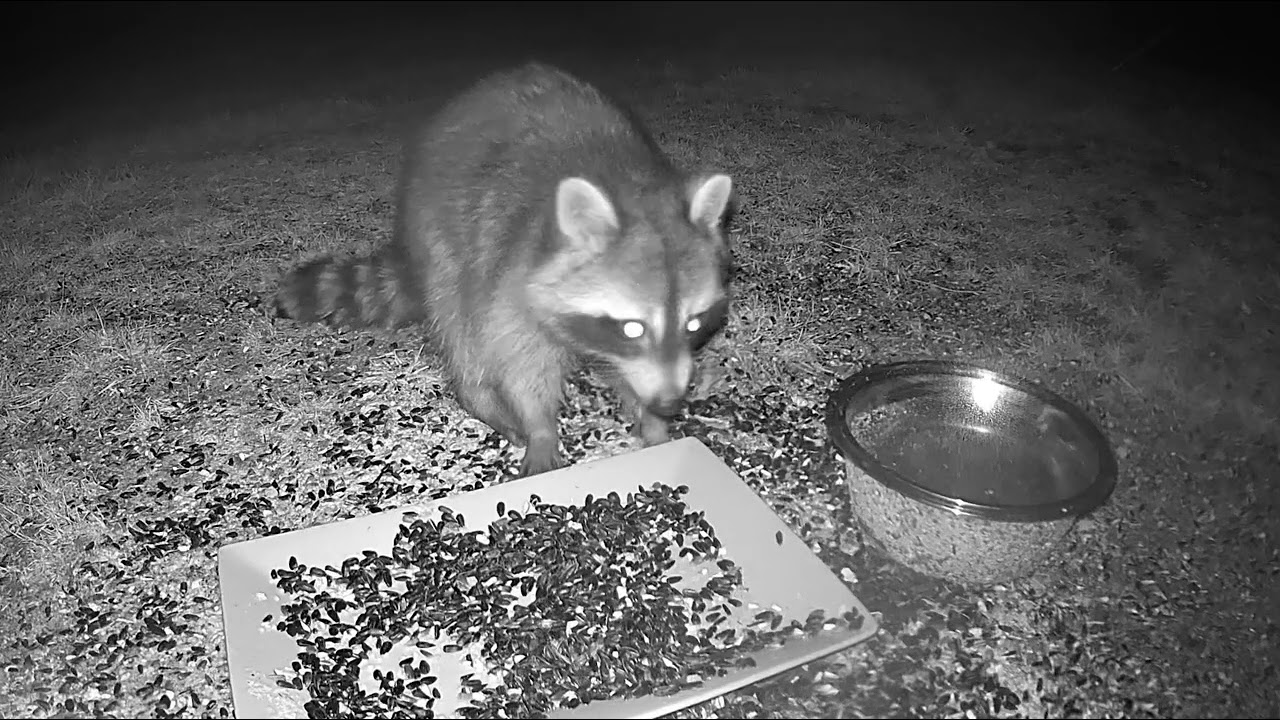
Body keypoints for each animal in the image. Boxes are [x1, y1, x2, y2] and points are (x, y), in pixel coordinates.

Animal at [274, 62, 735, 477]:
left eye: (695, 323)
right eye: (634, 327)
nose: (671, 403)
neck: (623, 182)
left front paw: (654, 424)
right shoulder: (507, 275)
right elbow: (519, 365)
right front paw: (541, 428)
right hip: (438, 235)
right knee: (459, 322)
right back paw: (478, 396)